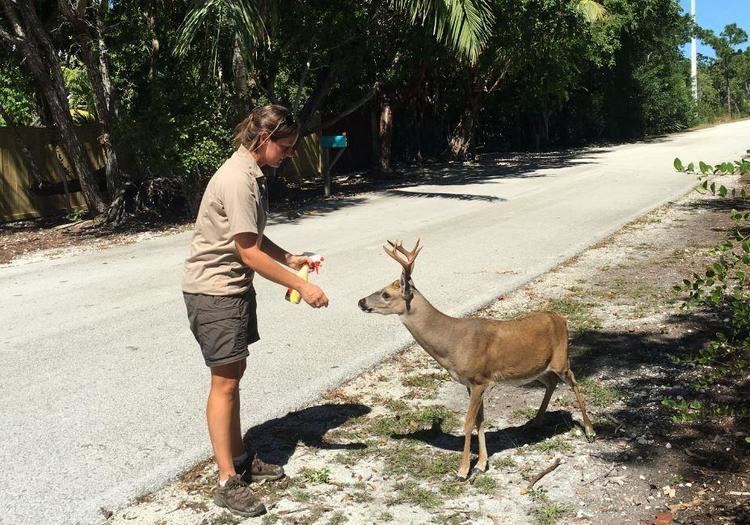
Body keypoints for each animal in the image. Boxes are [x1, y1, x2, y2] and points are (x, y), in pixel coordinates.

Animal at [360, 238, 600, 478]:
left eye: (386, 294)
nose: (361, 301)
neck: (452, 342)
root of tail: (561, 319)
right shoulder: (470, 383)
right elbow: (480, 421)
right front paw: (481, 464)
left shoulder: (479, 379)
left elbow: (468, 423)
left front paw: (463, 469)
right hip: (538, 368)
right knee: (551, 383)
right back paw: (534, 422)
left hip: (561, 359)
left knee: (574, 381)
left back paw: (590, 430)